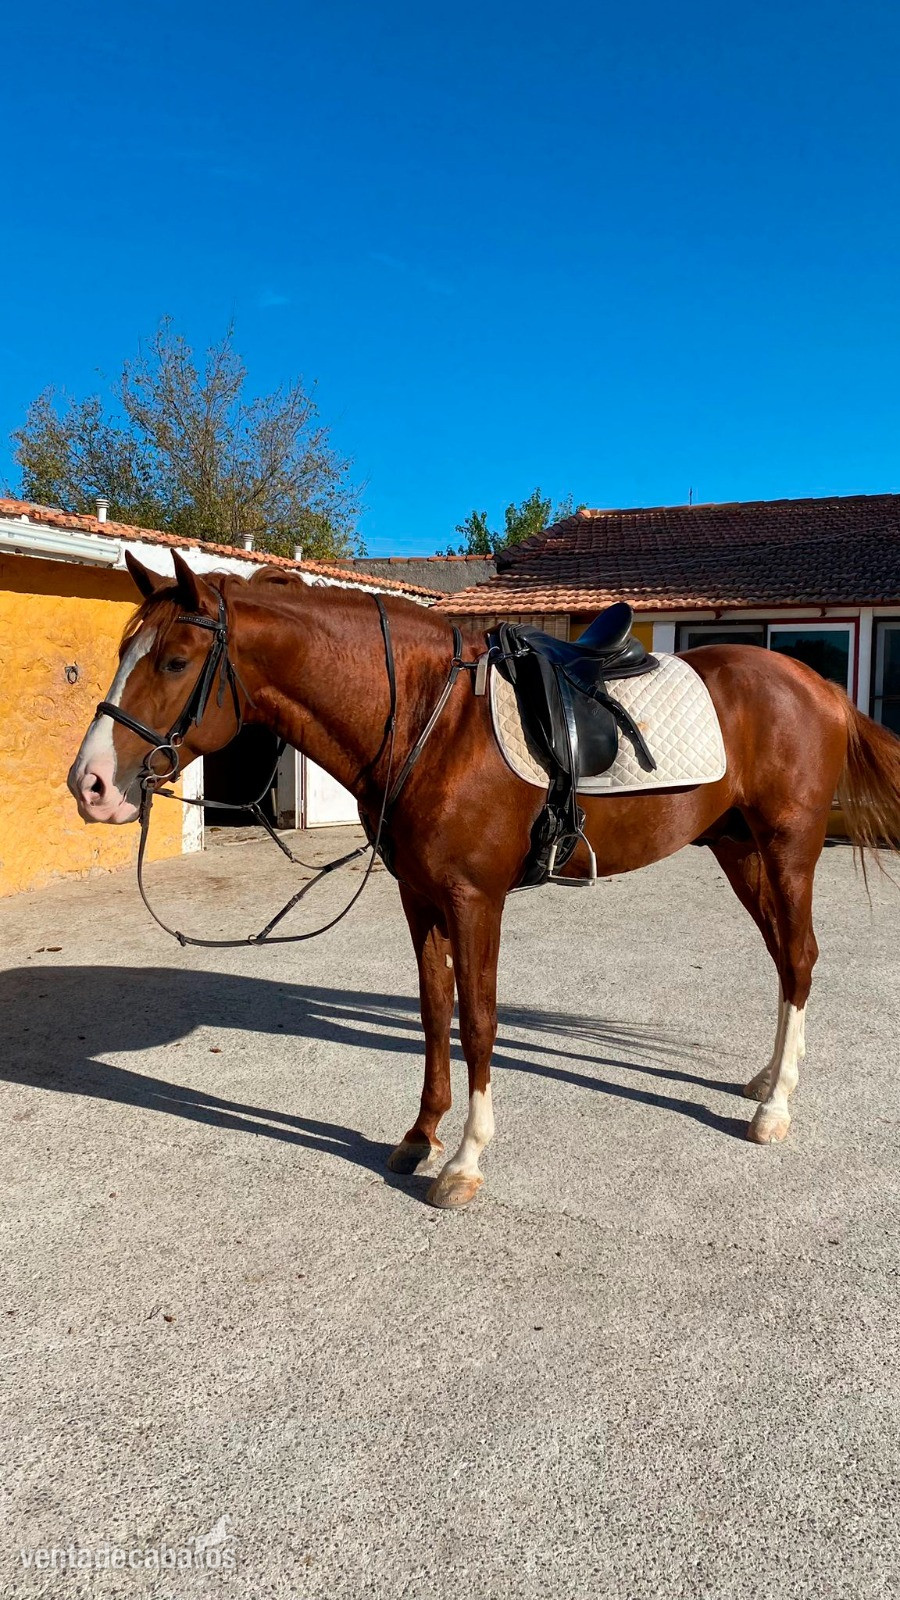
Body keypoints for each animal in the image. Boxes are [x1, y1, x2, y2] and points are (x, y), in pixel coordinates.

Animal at [68, 550, 900, 1209]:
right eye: (123, 650)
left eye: (174, 661)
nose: (91, 785)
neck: (429, 722)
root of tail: (819, 686)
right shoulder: (419, 896)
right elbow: (435, 1013)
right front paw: (419, 1136)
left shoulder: (476, 901)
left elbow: (478, 1022)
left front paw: (464, 1162)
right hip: (738, 849)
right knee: (788, 960)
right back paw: (766, 1080)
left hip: (788, 849)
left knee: (799, 958)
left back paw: (774, 1110)